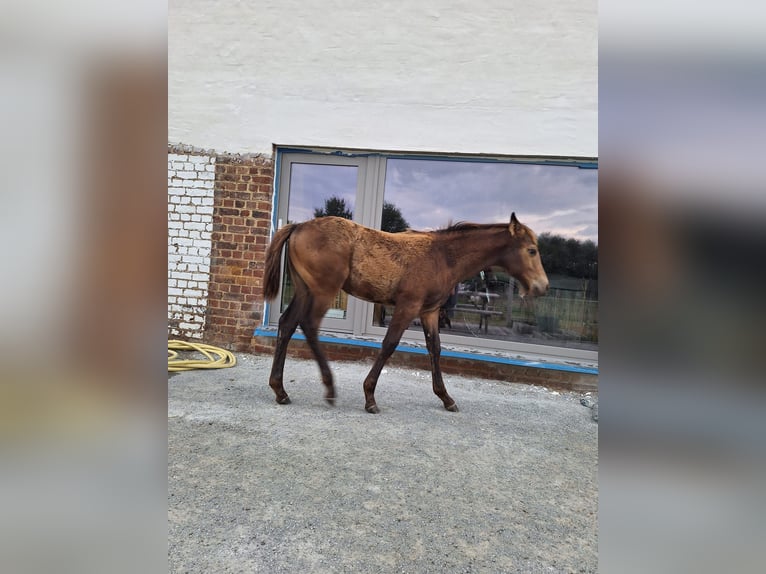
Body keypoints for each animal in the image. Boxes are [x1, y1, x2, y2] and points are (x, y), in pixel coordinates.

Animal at [262, 213, 549, 413]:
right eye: (531, 250)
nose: (542, 286)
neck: (443, 256)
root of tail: (299, 225)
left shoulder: (430, 311)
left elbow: (435, 348)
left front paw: (446, 398)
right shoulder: (407, 306)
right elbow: (390, 344)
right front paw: (370, 397)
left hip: (304, 290)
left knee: (287, 324)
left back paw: (280, 390)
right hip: (323, 290)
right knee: (309, 325)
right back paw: (329, 388)